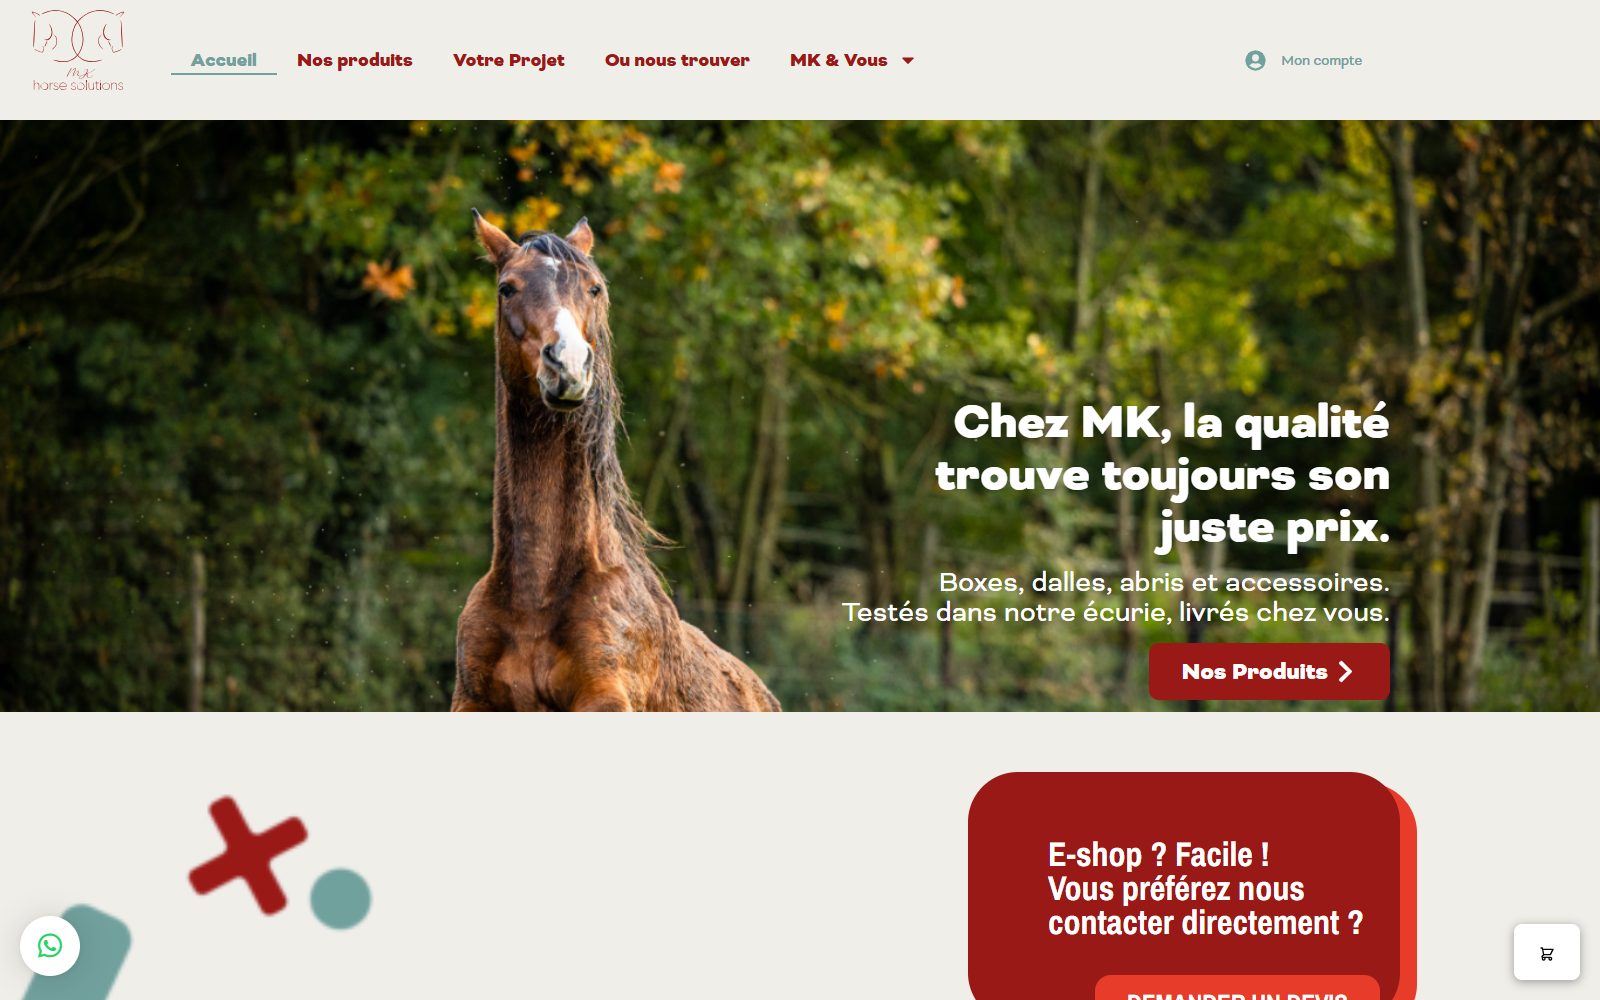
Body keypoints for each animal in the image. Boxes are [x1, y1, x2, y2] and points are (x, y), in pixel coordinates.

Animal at [451, 210, 780, 712]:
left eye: (593, 288)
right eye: (507, 288)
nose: (568, 364)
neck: (534, 601)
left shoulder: (605, 697)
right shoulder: (470, 701)